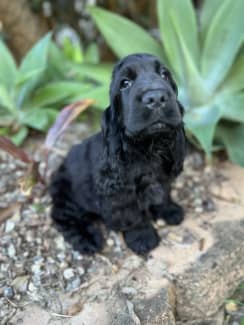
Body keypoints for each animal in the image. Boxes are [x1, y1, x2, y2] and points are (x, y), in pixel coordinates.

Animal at [50, 53, 186, 254]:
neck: (148, 147)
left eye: (164, 75)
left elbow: (164, 195)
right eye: (125, 83)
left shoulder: (163, 178)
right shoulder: (120, 192)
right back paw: (88, 239)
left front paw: (170, 211)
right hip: (67, 194)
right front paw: (143, 238)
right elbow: (133, 216)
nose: (156, 98)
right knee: (63, 217)